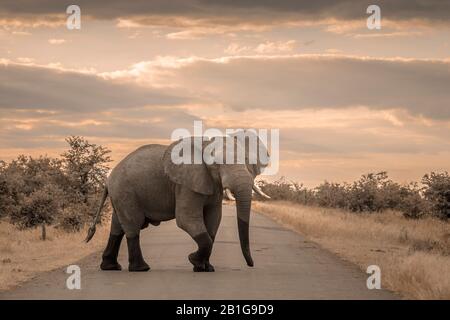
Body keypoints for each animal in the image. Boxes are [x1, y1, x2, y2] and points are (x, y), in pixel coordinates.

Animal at [86, 134, 270, 272]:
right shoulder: (185, 184)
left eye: (246, 160)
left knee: (117, 226)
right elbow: (186, 219)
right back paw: (141, 269)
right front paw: (193, 260)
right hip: (125, 191)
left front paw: (205, 268)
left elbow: (214, 219)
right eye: (216, 164)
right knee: (132, 225)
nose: (251, 264)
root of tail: (108, 179)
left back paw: (111, 267)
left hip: (121, 194)